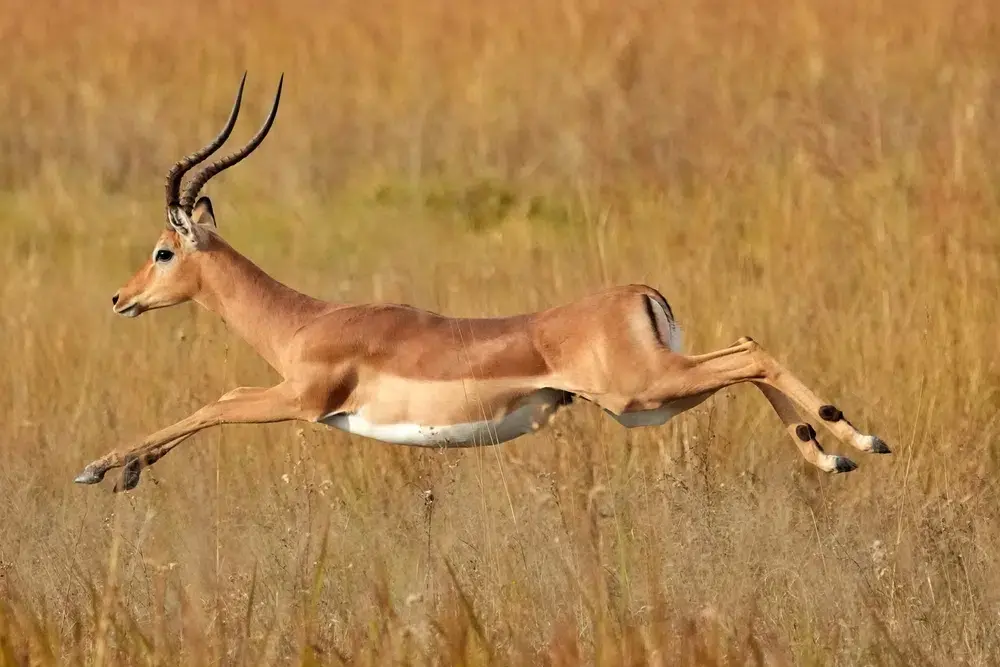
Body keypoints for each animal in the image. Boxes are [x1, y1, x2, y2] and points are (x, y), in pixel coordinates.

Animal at [75, 74, 891, 492]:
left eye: (162, 251)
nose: (118, 299)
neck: (302, 322)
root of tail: (640, 294)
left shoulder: (301, 400)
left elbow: (217, 400)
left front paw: (102, 467)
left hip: (642, 392)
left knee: (751, 353)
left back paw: (861, 436)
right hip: (650, 402)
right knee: (747, 353)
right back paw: (833, 452)